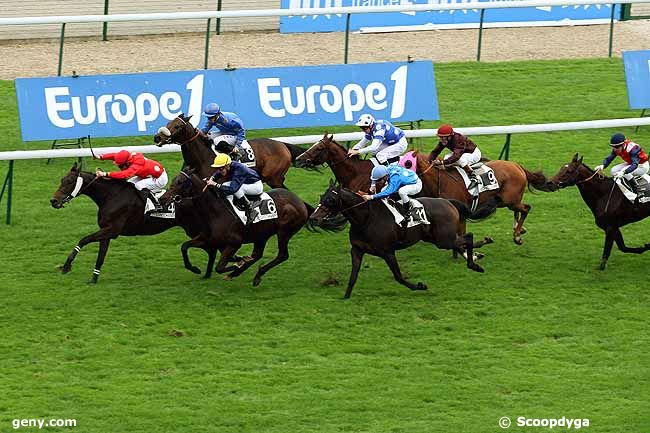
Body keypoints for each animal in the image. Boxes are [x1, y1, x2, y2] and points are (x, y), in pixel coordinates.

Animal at [50, 164, 208, 282]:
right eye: (61, 179)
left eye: (70, 181)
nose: (54, 201)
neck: (111, 196)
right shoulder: (106, 231)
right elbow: (100, 256)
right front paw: (93, 279)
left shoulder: (112, 230)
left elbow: (83, 240)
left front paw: (66, 266)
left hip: (195, 228)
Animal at [153, 114, 306, 188]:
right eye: (168, 123)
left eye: (177, 126)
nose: (157, 137)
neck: (202, 158)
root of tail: (282, 144)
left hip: (273, 178)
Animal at [157, 170, 308, 286]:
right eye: (174, 180)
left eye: (180, 182)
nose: (162, 198)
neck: (216, 212)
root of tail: (299, 201)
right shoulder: (208, 239)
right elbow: (184, 246)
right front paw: (195, 269)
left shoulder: (234, 243)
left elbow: (219, 267)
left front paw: (237, 263)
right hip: (261, 234)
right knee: (257, 254)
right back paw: (240, 271)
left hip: (284, 231)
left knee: (282, 255)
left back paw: (254, 274)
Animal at [296, 133, 556, 245]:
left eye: (318, 148)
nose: (299, 159)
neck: (356, 172)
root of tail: (518, 165)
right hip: (504, 200)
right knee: (520, 210)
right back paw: (518, 230)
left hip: (510, 199)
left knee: (525, 207)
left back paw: (518, 234)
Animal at [306, 181, 494, 298]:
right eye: (322, 197)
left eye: (330, 199)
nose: (313, 218)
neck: (366, 219)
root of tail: (447, 202)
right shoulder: (357, 250)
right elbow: (353, 276)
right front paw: (345, 297)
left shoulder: (387, 251)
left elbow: (398, 276)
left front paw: (420, 286)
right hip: (435, 238)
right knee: (462, 241)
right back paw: (477, 254)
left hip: (443, 239)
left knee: (467, 237)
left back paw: (475, 262)